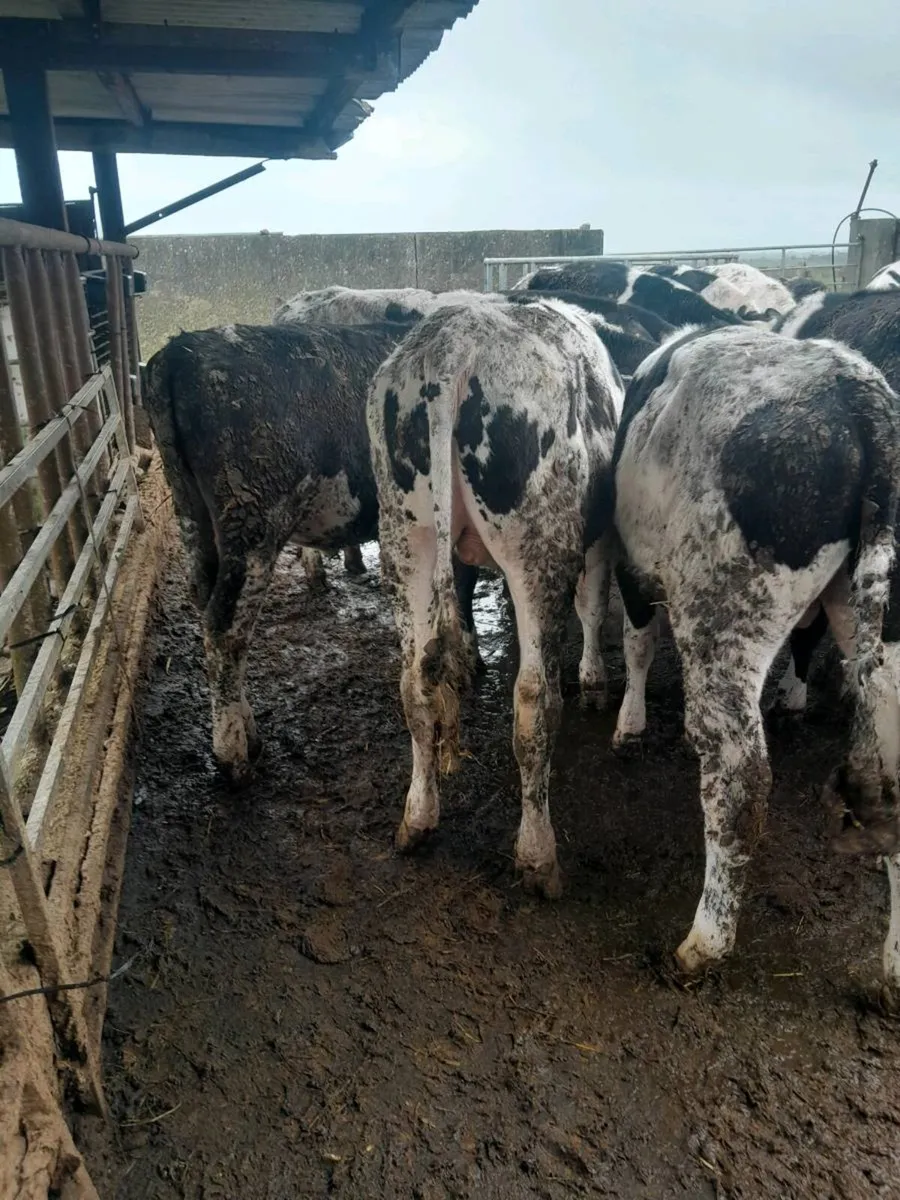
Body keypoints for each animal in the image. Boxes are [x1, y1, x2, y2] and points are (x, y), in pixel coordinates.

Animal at [144, 318, 420, 784]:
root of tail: (181, 350)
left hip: (193, 517)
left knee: (206, 605)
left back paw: (248, 731)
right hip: (253, 523)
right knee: (224, 626)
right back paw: (232, 752)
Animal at [368, 297, 625, 897]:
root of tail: (452, 343)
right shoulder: (596, 534)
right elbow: (592, 605)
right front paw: (594, 680)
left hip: (404, 538)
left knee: (414, 685)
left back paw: (417, 820)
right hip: (539, 545)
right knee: (532, 702)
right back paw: (538, 855)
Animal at [610, 323, 900, 993]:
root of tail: (864, 398)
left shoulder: (631, 565)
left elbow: (638, 642)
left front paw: (629, 724)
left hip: (723, 615)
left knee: (739, 779)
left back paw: (703, 944)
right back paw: (895, 973)